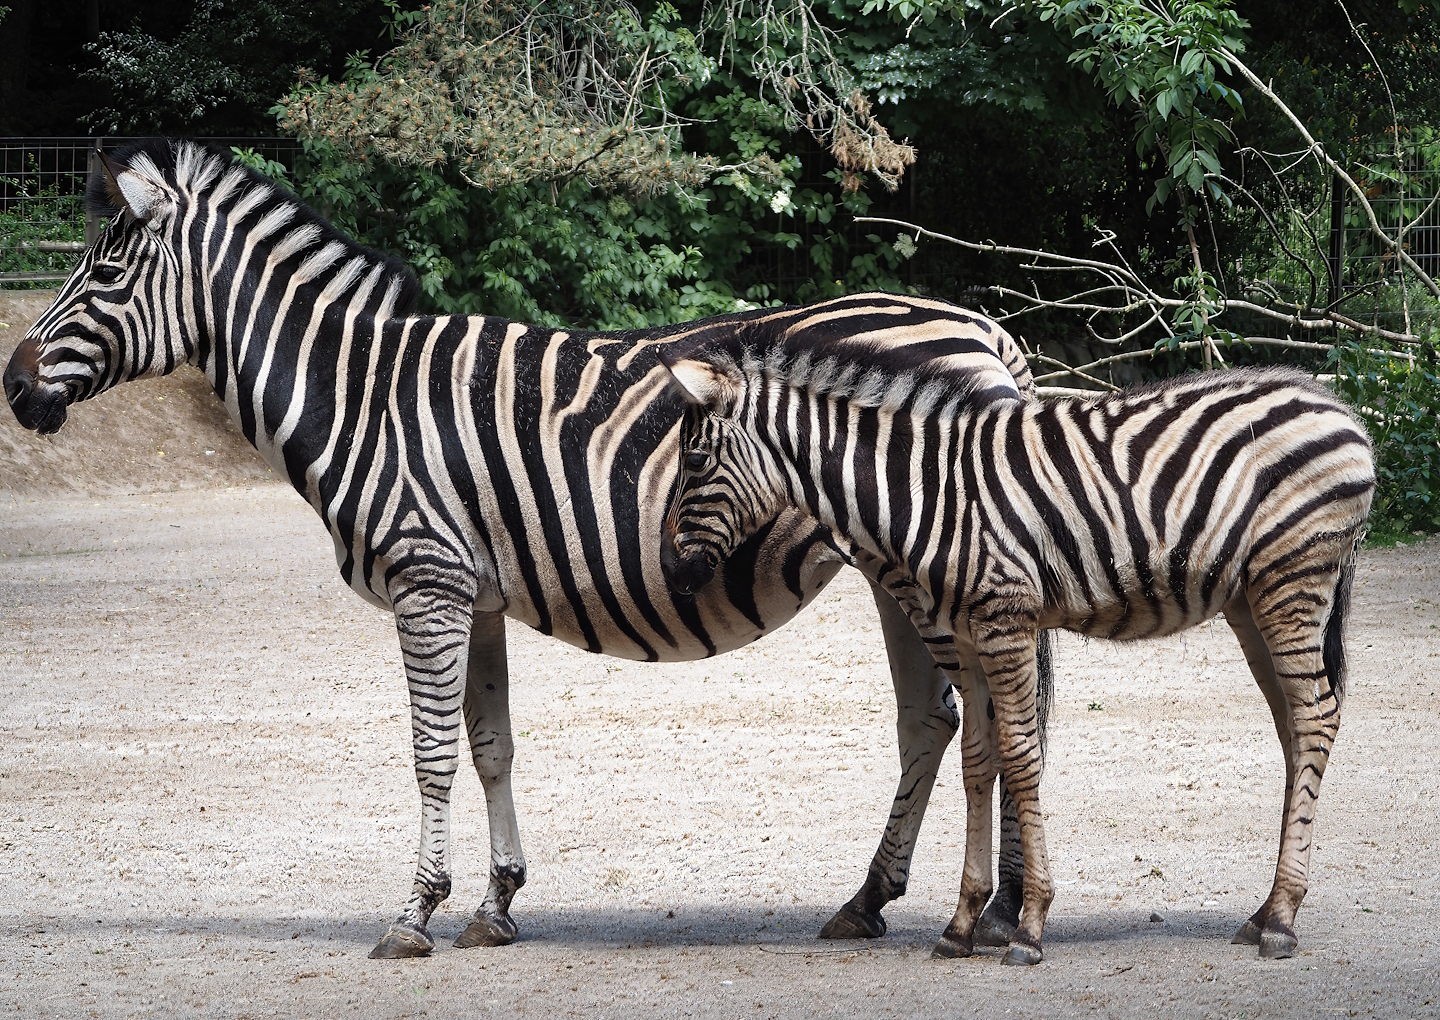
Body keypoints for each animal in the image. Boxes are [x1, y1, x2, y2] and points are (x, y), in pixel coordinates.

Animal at [2, 139, 1051, 959]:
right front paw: (495, 902)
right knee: (940, 719)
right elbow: (490, 745)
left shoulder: (425, 581)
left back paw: (987, 914)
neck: (358, 395)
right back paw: (892, 902)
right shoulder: (474, 594)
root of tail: (984, 330)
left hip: (923, 566)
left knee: (993, 714)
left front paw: (414, 915)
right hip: (896, 570)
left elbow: (429, 753)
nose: (13, 386)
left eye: (103, 273)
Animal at [658, 333, 1375, 965]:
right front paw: (961, 923)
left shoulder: (1006, 620)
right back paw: (1264, 911)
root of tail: (1341, 410)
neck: (925, 490)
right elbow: (979, 763)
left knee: (1315, 718)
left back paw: (1282, 920)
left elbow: (1024, 756)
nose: (670, 572)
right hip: (1251, 599)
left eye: (693, 463)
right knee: (1295, 726)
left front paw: (1029, 926)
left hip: (1293, 577)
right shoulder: (967, 637)